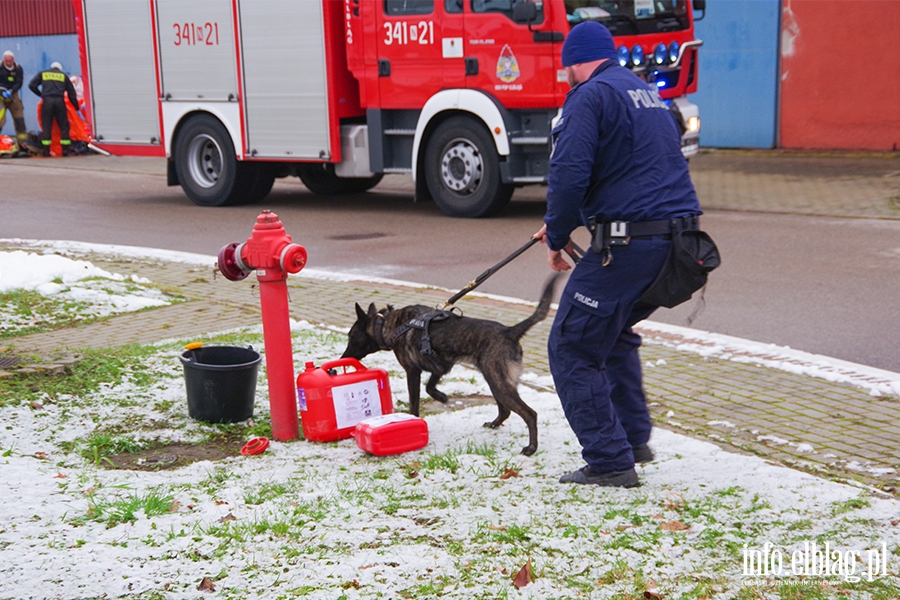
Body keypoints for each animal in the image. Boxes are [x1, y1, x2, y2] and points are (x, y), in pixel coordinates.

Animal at [342, 276, 560, 454]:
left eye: (351, 337)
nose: (343, 357)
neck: (389, 324)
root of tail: (510, 331)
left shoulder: (413, 371)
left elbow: (415, 400)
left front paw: (417, 417)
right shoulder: (442, 365)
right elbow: (430, 385)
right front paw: (441, 396)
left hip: (498, 382)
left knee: (529, 413)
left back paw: (531, 447)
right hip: (496, 380)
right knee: (505, 410)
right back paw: (494, 424)